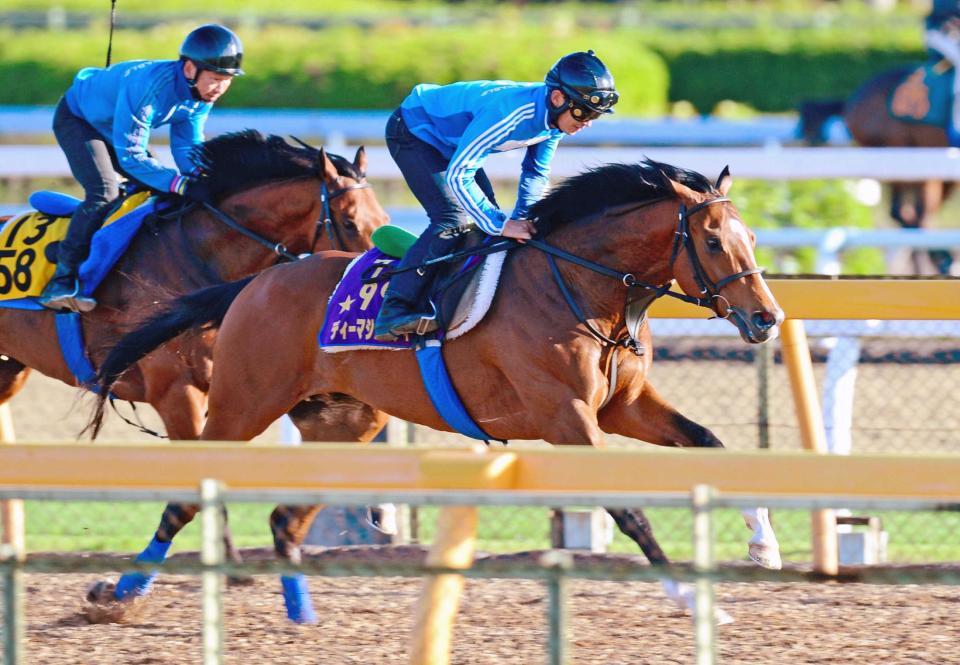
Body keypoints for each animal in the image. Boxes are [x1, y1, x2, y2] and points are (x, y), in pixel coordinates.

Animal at [0, 128, 388, 565]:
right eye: (350, 222)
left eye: (384, 221)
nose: (373, 287)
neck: (200, 258)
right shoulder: (177, 392)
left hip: (8, 369)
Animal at [87, 159, 784, 623]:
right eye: (714, 240)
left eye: (752, 237)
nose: (767, 318)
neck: (584, 289)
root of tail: (256, 282)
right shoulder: (565, 418)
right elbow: (630, 510)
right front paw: (694, 600)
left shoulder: (624, 408)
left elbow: (711, 444)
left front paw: (764, 545)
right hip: (241, 403)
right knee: (188, 496)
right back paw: (118, 593)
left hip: (346, 422)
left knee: (286, 517)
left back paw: (300, 611)